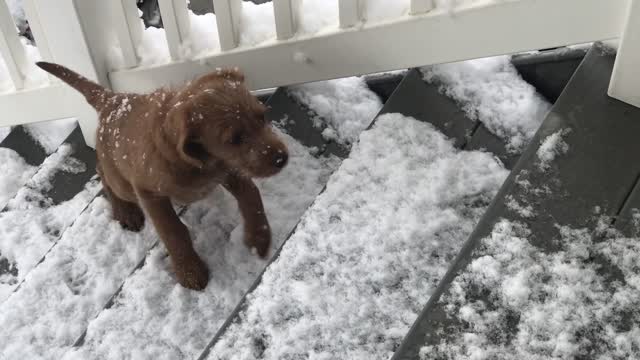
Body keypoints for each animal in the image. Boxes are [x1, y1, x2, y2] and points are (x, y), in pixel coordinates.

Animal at [37, 62, 290, 290]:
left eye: (262, 117)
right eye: (235, 139)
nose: (281, 158)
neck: (195, 161)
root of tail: (112, 100)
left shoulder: (228, 168)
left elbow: (252, 195)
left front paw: (259, 236)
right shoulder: (149, 192)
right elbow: (173, 231)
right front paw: (189, 271)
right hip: (123, 185)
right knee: (103, 174)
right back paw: (125, 212)